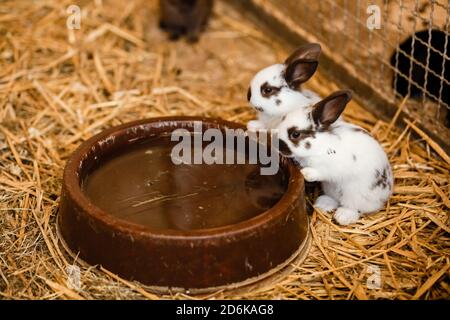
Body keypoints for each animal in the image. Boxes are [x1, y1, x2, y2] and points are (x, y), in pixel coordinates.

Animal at [276, 90, 392, 225]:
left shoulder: (332, 166)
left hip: (355, 196)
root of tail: (386, 193)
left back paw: (342, 216)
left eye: (295, 134)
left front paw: (306, 173)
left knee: (355, 209)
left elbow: (321, 171)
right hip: (331, 189)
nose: (277, 144)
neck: (319, 145)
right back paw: (322, 204)